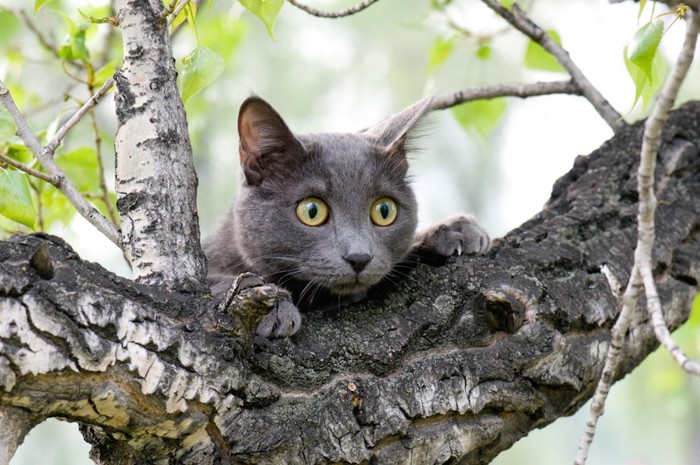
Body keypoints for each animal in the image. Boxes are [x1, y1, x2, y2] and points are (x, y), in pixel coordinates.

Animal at [202, 97, 490, 338]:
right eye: (312, 211)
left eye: (384, 211)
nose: (359, 257)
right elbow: (213, 280)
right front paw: (268, 303)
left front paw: (454, 229)